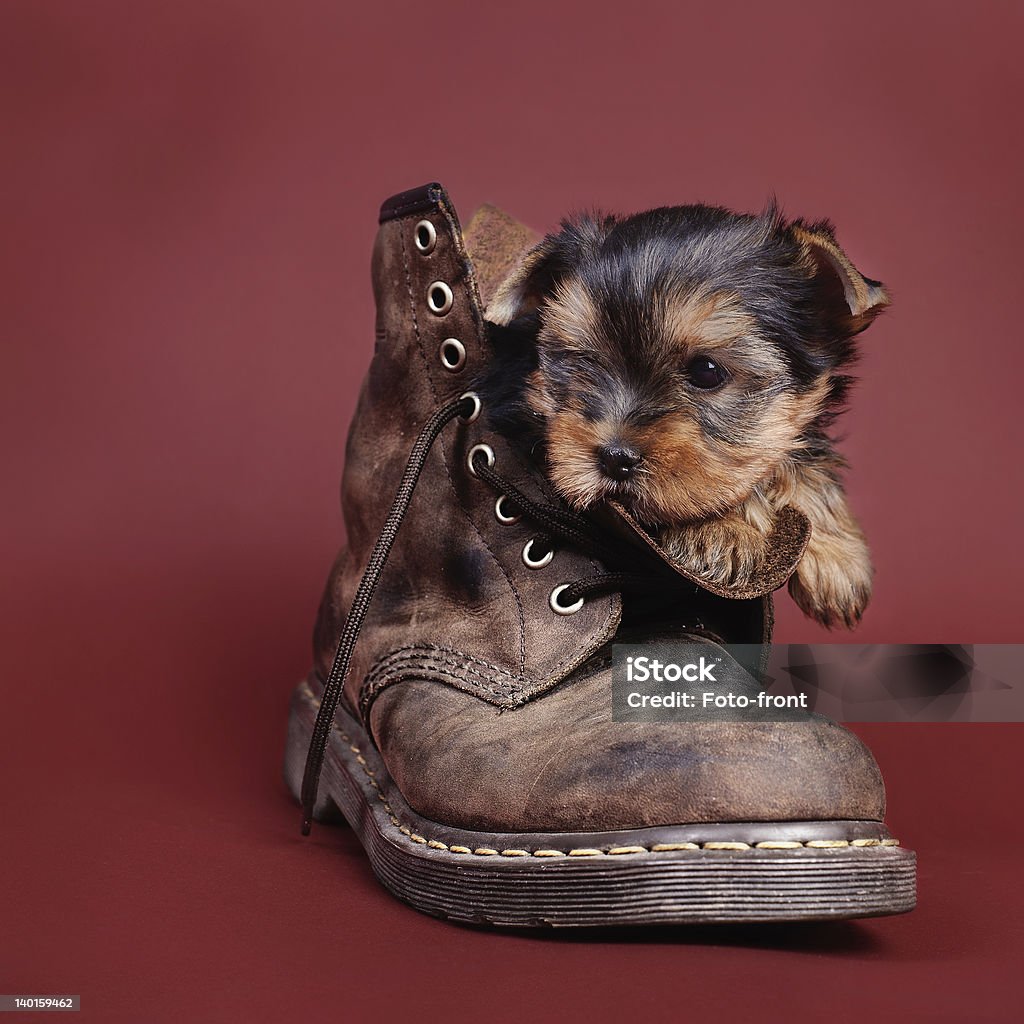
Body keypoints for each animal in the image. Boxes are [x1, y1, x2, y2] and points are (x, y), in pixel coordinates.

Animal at [481, 203, 888, 626]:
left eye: (707, 371)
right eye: (583, 362)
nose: (615, 458)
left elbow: (794, 449)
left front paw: (836, 553)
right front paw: (719, 530)